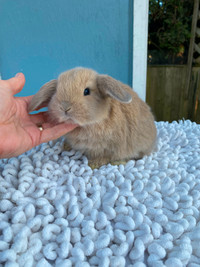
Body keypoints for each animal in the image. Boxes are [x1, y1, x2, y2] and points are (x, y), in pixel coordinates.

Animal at [28, 67, 156, 168]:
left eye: (86, 91)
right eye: (56, 91)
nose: (65, 107)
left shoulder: (110, 147)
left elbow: (106, 156)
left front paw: (93, 164)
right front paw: (66, 146)